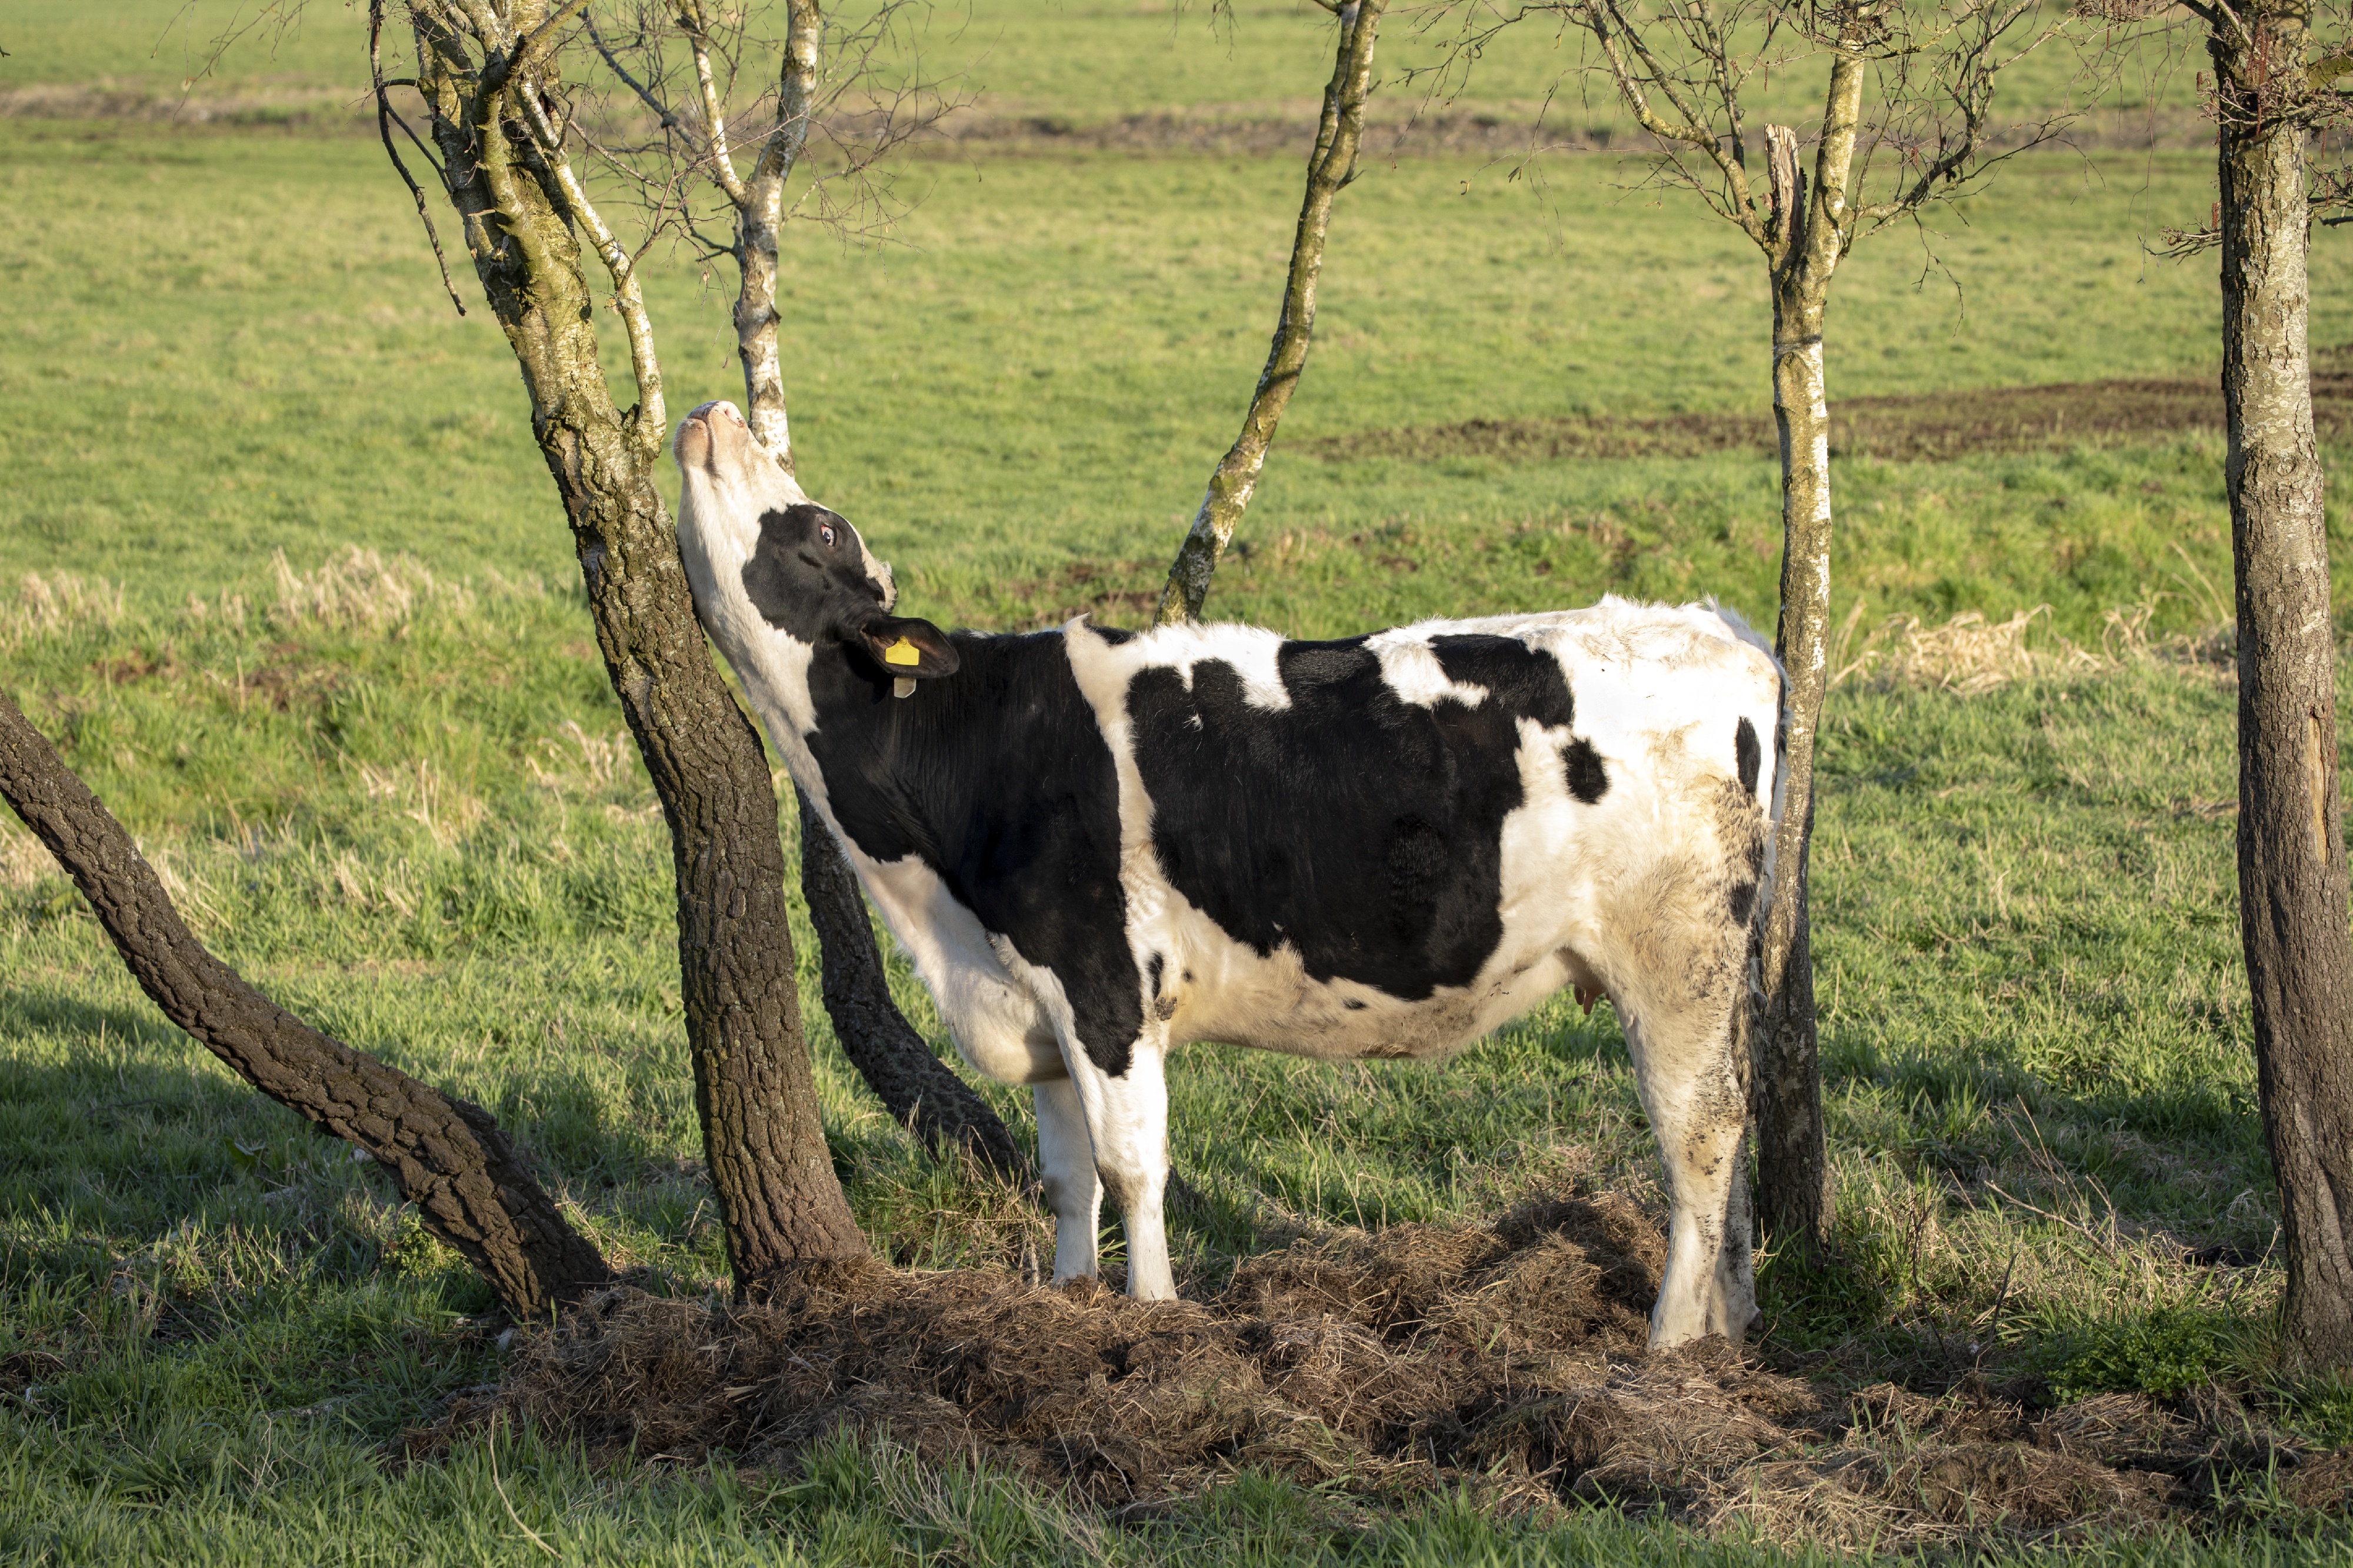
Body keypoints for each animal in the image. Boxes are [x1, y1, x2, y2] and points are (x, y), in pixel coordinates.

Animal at [678, 398, 1779, 1337]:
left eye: (824, 529)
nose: (714, 412)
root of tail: (1717, 629)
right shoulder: (1037, 1006)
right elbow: (1067, 1175)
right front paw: (1072, 1303)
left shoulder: (1107, 985)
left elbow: (1133, 1168)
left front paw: (1156, 1317)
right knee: (1737, 1115)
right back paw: (1732, 1322)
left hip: (1671, 959)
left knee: (1701, 1130)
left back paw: (1671, 1341)